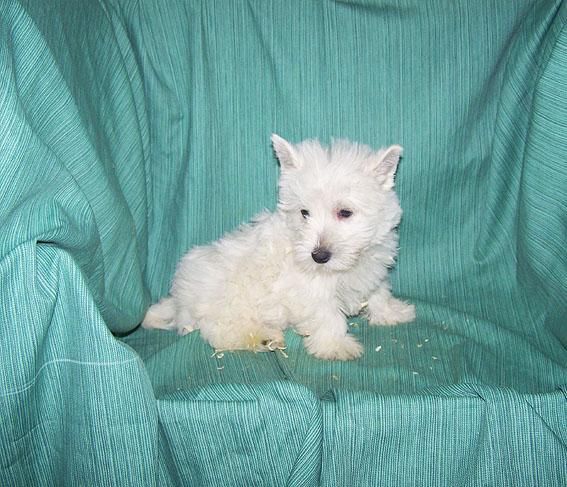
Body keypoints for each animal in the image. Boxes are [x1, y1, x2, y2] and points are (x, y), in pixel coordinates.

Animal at [144, 135, 414, 360]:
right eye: (304, 213)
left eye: (345, 212)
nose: (318, 256)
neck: (346, 266)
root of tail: (179, 298)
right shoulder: (309, 291)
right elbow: (328, 316)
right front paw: (336, 346)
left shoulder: (373, 267)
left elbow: (379, 292)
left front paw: (392, 312)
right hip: (223, 303)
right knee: (217, 330)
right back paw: (262, 337)